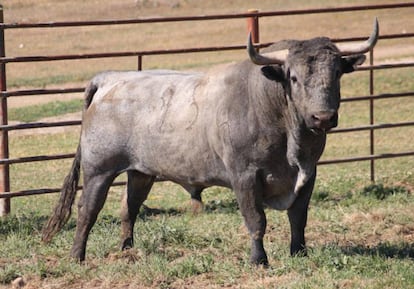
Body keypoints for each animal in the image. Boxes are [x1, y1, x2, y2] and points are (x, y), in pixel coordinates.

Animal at [42, 19, 378, 264]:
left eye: (337, 74)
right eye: (293, 77)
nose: (323, 117)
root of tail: (110, 78)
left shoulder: (308, 173)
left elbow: (298, 217)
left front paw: (299, 253)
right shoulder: (245, 176)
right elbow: (256, 220)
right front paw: (258, 260)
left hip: (141, 172)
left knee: (129, 208)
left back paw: (128, 251)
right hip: (99, 170)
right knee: (88, 210)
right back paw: (76, 257)